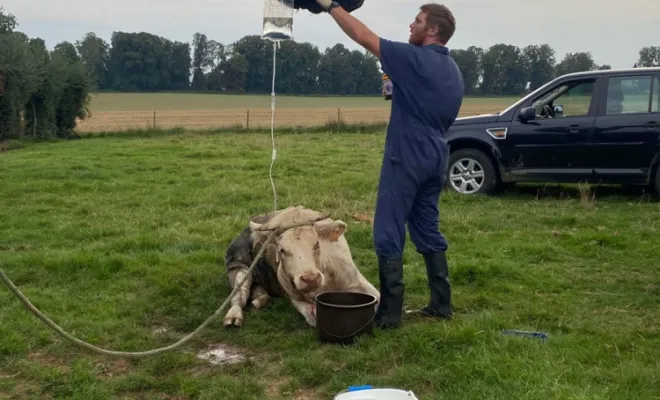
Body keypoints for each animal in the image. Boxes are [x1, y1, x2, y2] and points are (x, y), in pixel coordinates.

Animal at [222, 206, 378, 328]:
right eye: (282, 250)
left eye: (317, 244)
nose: (311, 279)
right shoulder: (296, 300)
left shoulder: (356, 280)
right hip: (238, 267)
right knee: (239, 293)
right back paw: (234, 316)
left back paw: (260, 299)